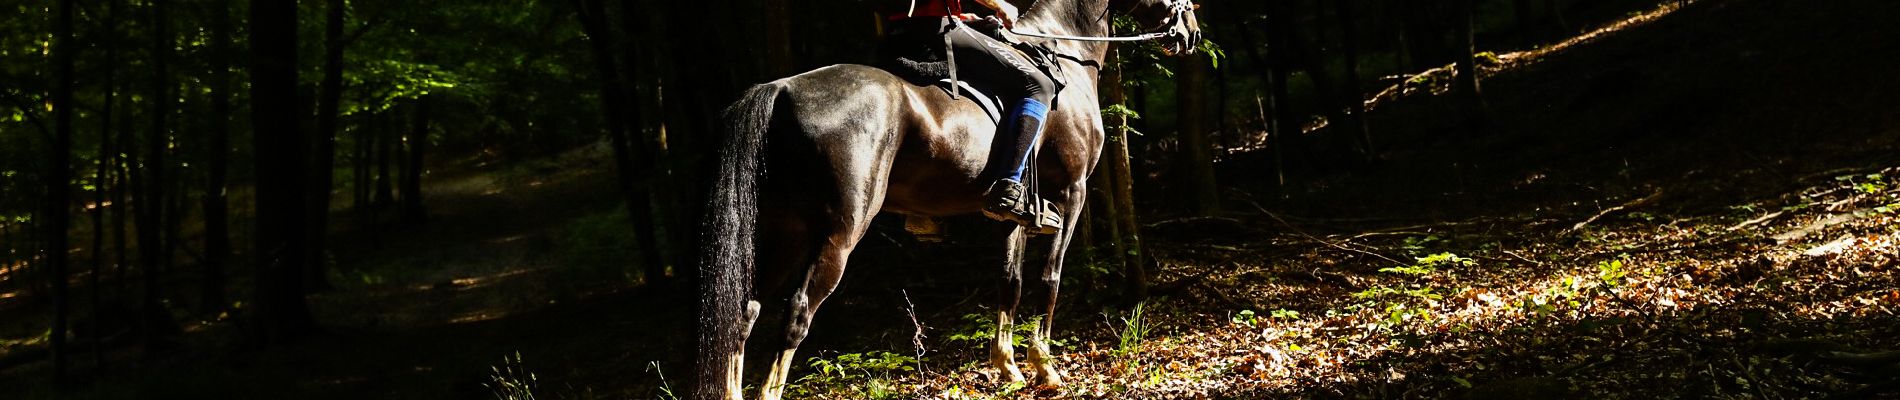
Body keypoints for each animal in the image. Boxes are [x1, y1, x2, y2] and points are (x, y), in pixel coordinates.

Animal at [699, 1, 1200, 398]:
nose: (1192, 32)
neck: (1064, 51)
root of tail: (782, 89)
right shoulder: (1073, 192)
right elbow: (1050, 277)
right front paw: (1044, 366)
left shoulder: (1013, 215)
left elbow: (1010, 281)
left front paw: (1008, 367)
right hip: (837, 234)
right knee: (796, 313)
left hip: (783, 231)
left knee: (746, 310)